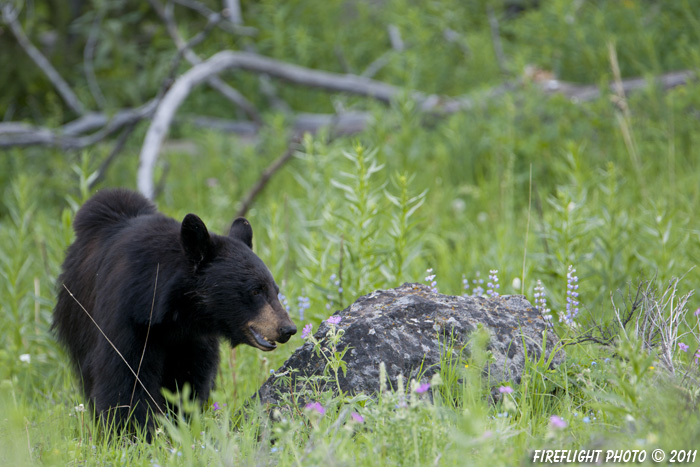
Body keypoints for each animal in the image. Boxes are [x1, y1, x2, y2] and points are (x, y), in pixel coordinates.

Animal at [53, 189, 294, 436]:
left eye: (275, 290)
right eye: (255, 290)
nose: (287, 328)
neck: (174, 315)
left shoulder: (192, 340)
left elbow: (188, 380)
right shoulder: (127, 319)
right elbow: (124, 378)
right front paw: (133, 432)